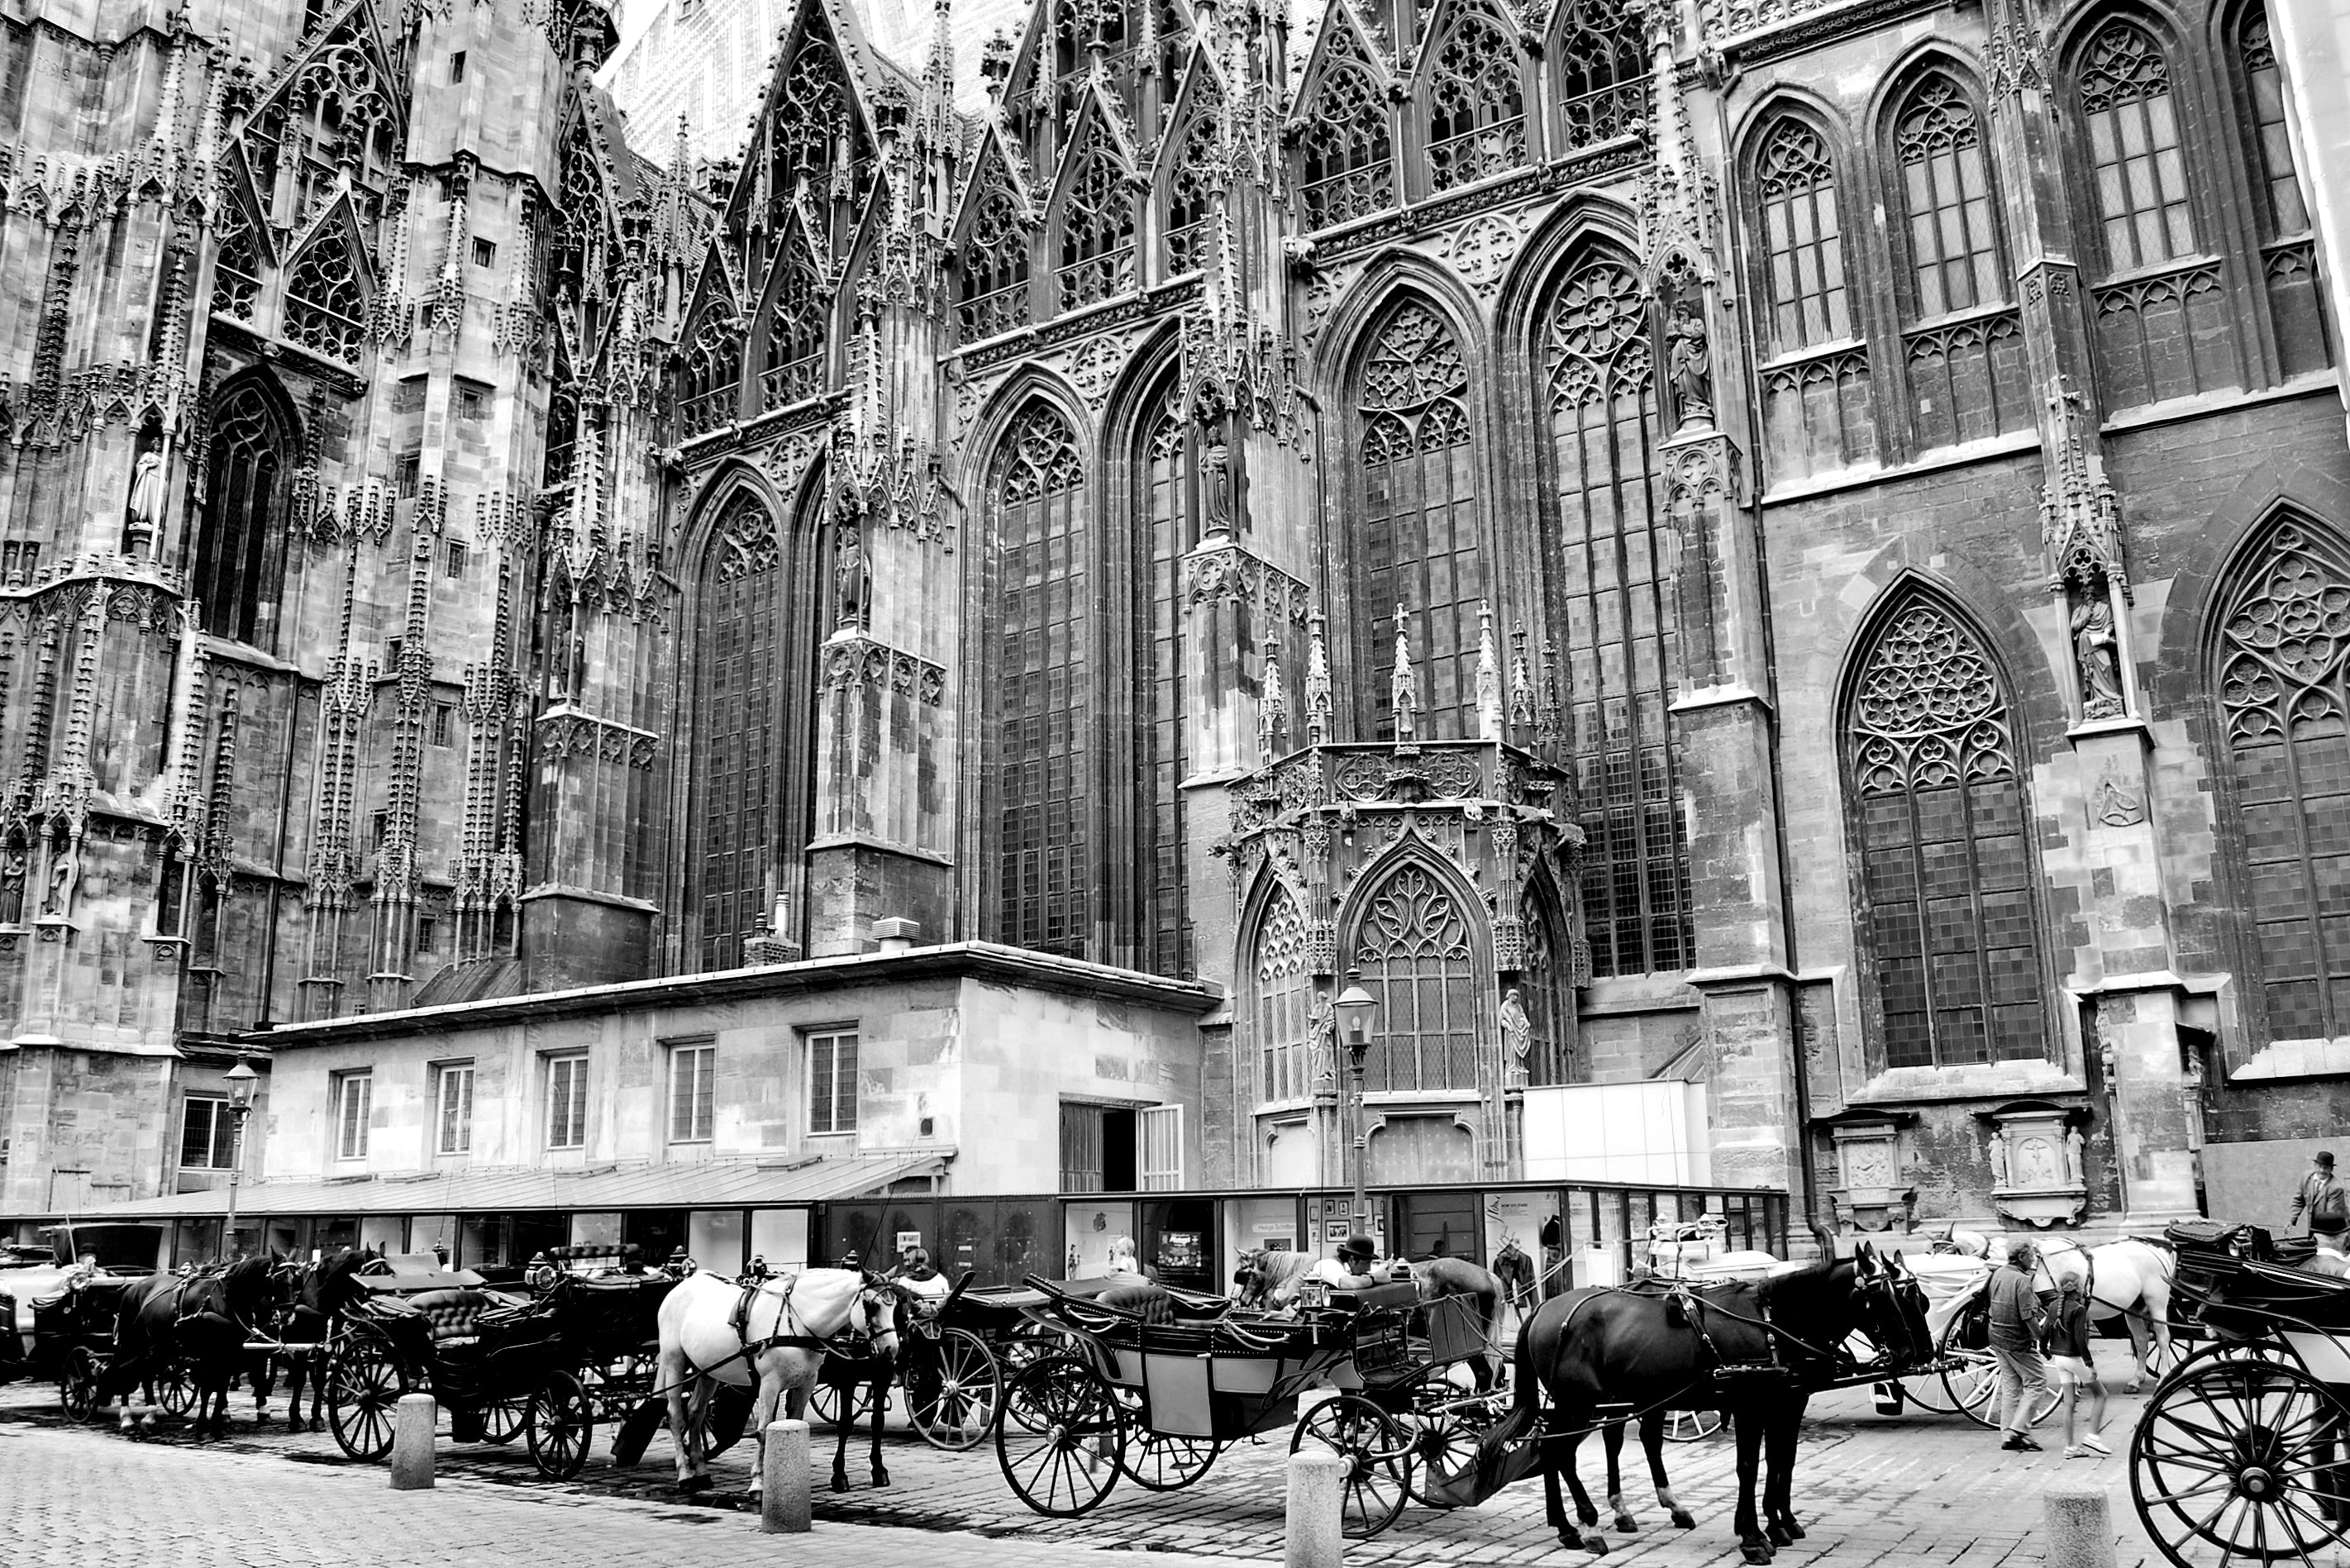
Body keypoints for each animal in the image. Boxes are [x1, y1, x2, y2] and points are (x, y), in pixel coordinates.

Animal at [658, 1260, 893, 1494]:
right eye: (873, 1306)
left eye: (895, 1305)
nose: (892, 1349)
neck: (795, 1323)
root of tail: (682, 1286)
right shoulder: (770, 1384)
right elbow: (763, 1430)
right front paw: (758, 1483)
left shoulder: (807, 1383)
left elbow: (797, 1423)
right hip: (674, 1362)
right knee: (675, 1415)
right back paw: (685, 1475)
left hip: (708, 1370)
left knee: (696, 1412)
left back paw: (701, 1471)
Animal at [1513, 1241, 1936, 1561]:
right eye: (1880, 1297)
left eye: (1918, 1298)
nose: (1915, 1352)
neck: (1774, 1322)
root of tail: (1544, 1307)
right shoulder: (1751, 1405)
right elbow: (1749, 1466)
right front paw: (1753, 1536)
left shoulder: (1787, 1403)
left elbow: (1782, 1460)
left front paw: (1780, 1523)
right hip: (1579, 1404)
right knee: (1561, 1453)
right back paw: (1587, 1525)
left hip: (1613, 1401)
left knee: (1560, 1448)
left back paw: (1572, 1526)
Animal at [1946, 1232, 2181, 1391]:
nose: (1964, 1335)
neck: (2041, 1266)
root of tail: (2157, 1250)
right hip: (2133, 1307)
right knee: (2141, 1341)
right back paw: (2136, 1379)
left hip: (2156, 1302)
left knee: (2163, 1338)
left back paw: (2164, 1376)